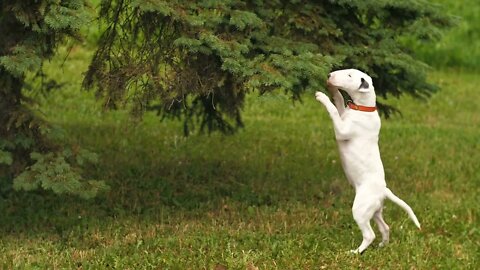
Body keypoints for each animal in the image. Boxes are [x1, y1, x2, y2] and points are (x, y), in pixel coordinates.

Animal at [316, 68, 420, 254]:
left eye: (349, 76)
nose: (329, 75)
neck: (364, 108)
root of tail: (383, 190)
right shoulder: (344, 114)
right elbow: (340, 102)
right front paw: (334, 91)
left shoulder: (342, 131)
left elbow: (334, 111)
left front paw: (322, 96)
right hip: (374, 211)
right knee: (385, 227)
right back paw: (382, 245)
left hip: (360, 210)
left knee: (370, 234)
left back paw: (356, 252)